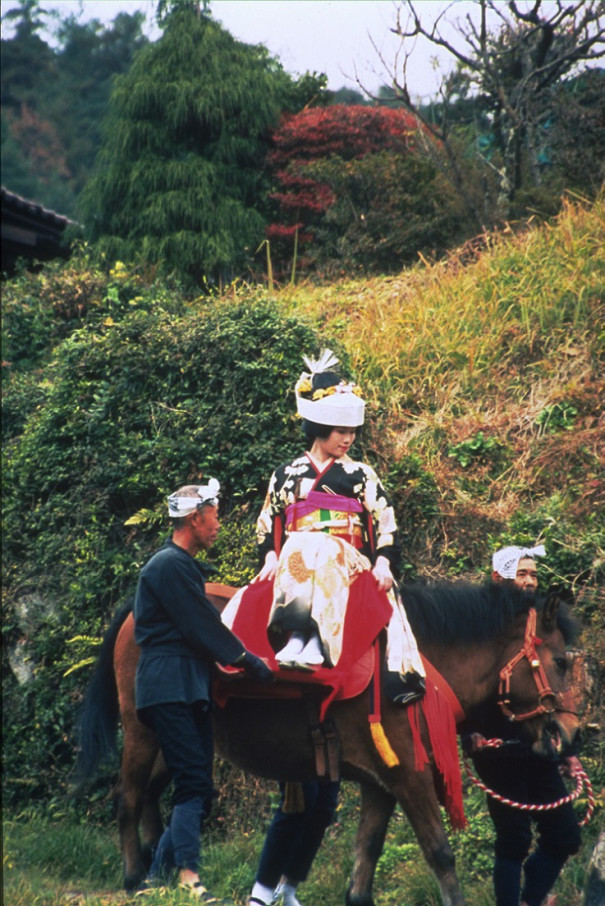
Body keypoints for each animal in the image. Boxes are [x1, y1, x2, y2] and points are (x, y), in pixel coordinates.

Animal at [75, 580, 580, 904]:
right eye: (561, 662)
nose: (570, 735)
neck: (413, 666)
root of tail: (137, 608)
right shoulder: (410, 776)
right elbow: (440, 853)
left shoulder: (381, 784)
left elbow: (367, 853)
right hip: (144, 728)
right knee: (128, 796)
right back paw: (135, 876)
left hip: (176, 737)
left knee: (150, 796)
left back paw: (158, 870)